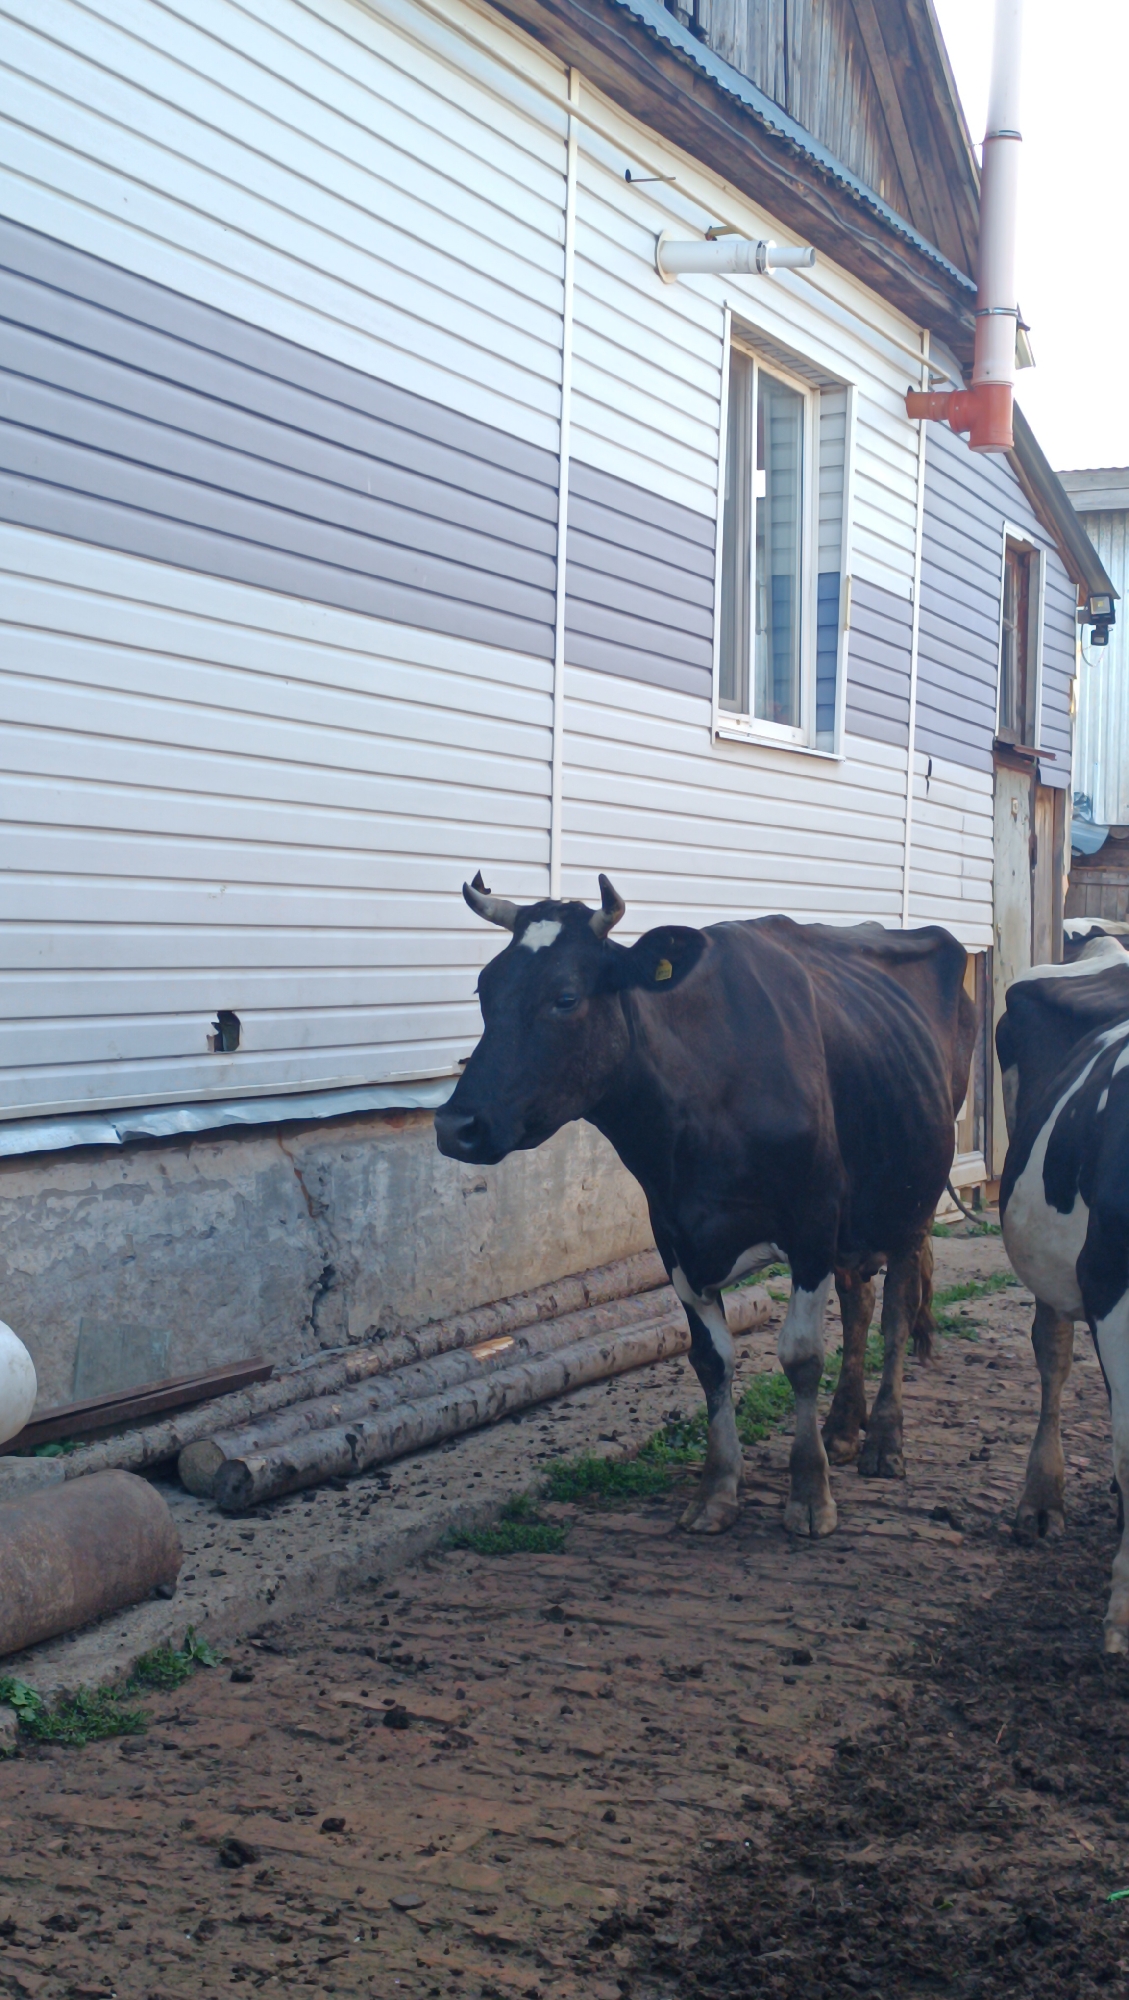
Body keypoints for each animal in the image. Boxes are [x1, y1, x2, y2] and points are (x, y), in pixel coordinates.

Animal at [436, 875, 976, 1539]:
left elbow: (801, 1356)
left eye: (565, 997)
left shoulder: (812, 1223)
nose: (454, 1126)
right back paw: (844, 1429)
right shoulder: (675, 1238)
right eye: (484, 988)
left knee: (898, 1311)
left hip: (912, 1201)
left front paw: (809, 1494)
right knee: (860, 1304)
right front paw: (717, 1490)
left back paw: (884, 1442)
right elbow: (711, 1361)